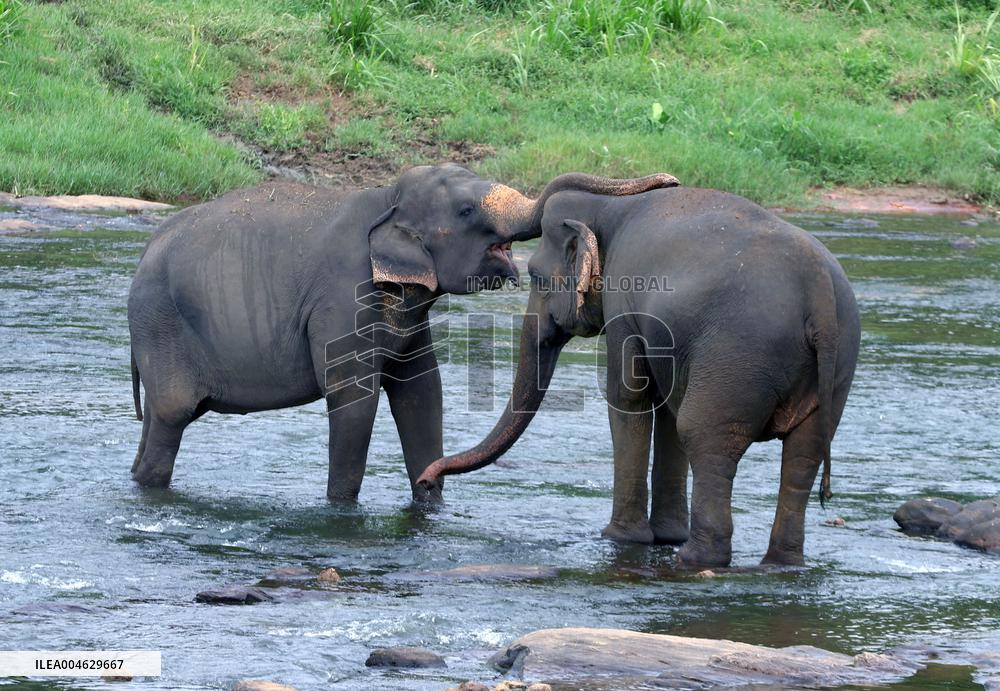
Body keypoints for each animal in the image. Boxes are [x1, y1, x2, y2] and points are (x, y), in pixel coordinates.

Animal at [127, 163, 679, 502]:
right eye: (466, 211)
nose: (671, 180)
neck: (385, 197)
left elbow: (422, 393)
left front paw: (429, 502)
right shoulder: (343, 296)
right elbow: (354, 400)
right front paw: (341, 510)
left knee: (156, 420)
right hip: (161, 325)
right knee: (171, 418)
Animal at [417, 185, 860, 566]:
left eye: (538, 278)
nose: (426, 481)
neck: (611, 207)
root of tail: (819, 293)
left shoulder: (624, 304)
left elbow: (628, 397)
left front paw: (619, 538)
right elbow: (664, 403)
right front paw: (664, 536)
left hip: (739, 357)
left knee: (705, 436)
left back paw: (697, 559)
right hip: (837, 366)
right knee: (803, 454)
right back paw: (780, 564)